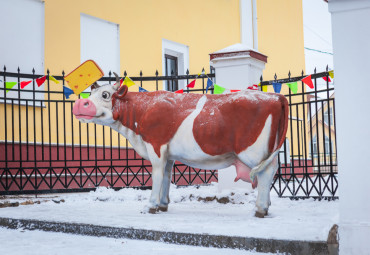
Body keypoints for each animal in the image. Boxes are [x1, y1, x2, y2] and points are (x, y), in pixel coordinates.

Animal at [73, 74, 290, 217]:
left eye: (105, 95)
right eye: (91, 92)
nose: (79, 104)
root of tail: (274, 96)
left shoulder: (156, 145)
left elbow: (157, 174)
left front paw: (151, 206)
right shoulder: (168, 154)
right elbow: (167, 176)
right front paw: (163, 204)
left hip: (252, 151)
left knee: (265, 173)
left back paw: (260, 209)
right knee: (272, 170)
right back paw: (266, 206)